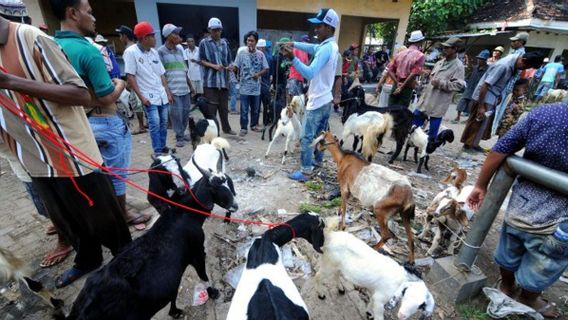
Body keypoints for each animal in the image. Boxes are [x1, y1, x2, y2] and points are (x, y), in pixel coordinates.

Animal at [69, 154, 237, 318]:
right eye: (215, 188)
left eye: (228, 182)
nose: (235, 206)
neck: (184, 213)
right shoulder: (197, 252)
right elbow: (203, 275)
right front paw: (213, 292)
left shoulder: (174, 276)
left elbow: (173, 292)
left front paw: (174, 311)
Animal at [312, 131, 414, 264]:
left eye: (321, 141)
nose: (316, 151)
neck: (342, 158)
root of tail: (408, 196)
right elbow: (343, 205)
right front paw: (338, 213)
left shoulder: (344, 188)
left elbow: (344, 207)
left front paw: (341, 226)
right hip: (404, 214)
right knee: (411, 238)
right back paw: (411, 261)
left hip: (381, 210)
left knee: (387, 235)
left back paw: (373, 248)